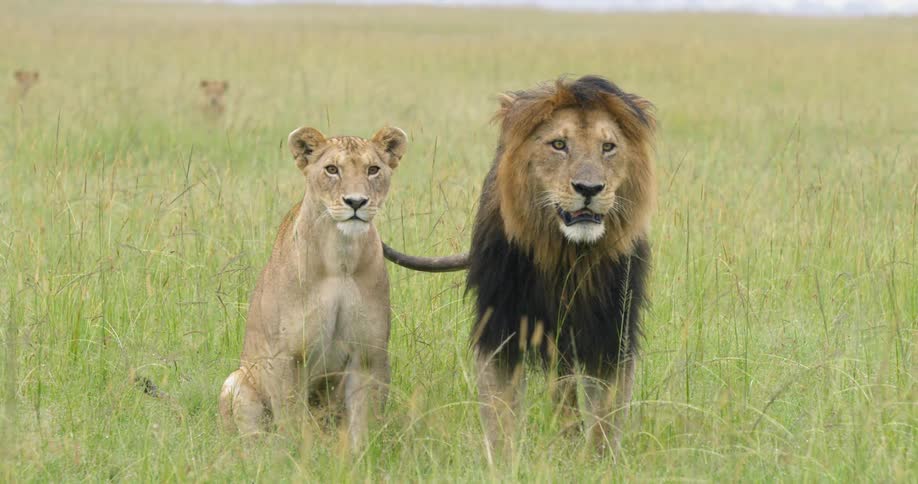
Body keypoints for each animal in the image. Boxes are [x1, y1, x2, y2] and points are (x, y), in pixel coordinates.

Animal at [220, 125, 408, 449]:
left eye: (373, 170)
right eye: (332, 169)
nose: (356, 202)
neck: (340, 257)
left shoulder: (368, 354)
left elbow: (362, 420)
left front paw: (360, 455)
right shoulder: (288, 356)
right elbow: (292, 417)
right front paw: (298, 452)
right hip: (235, 381)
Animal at [381, 75, 656, 459]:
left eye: (608, 147)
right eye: (559, 144)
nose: (589, 188)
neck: (566, 255)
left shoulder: (611, 330)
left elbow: (607, 415)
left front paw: (598, 462)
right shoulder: (501, 326)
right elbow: (501, 413)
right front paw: (506, 461)